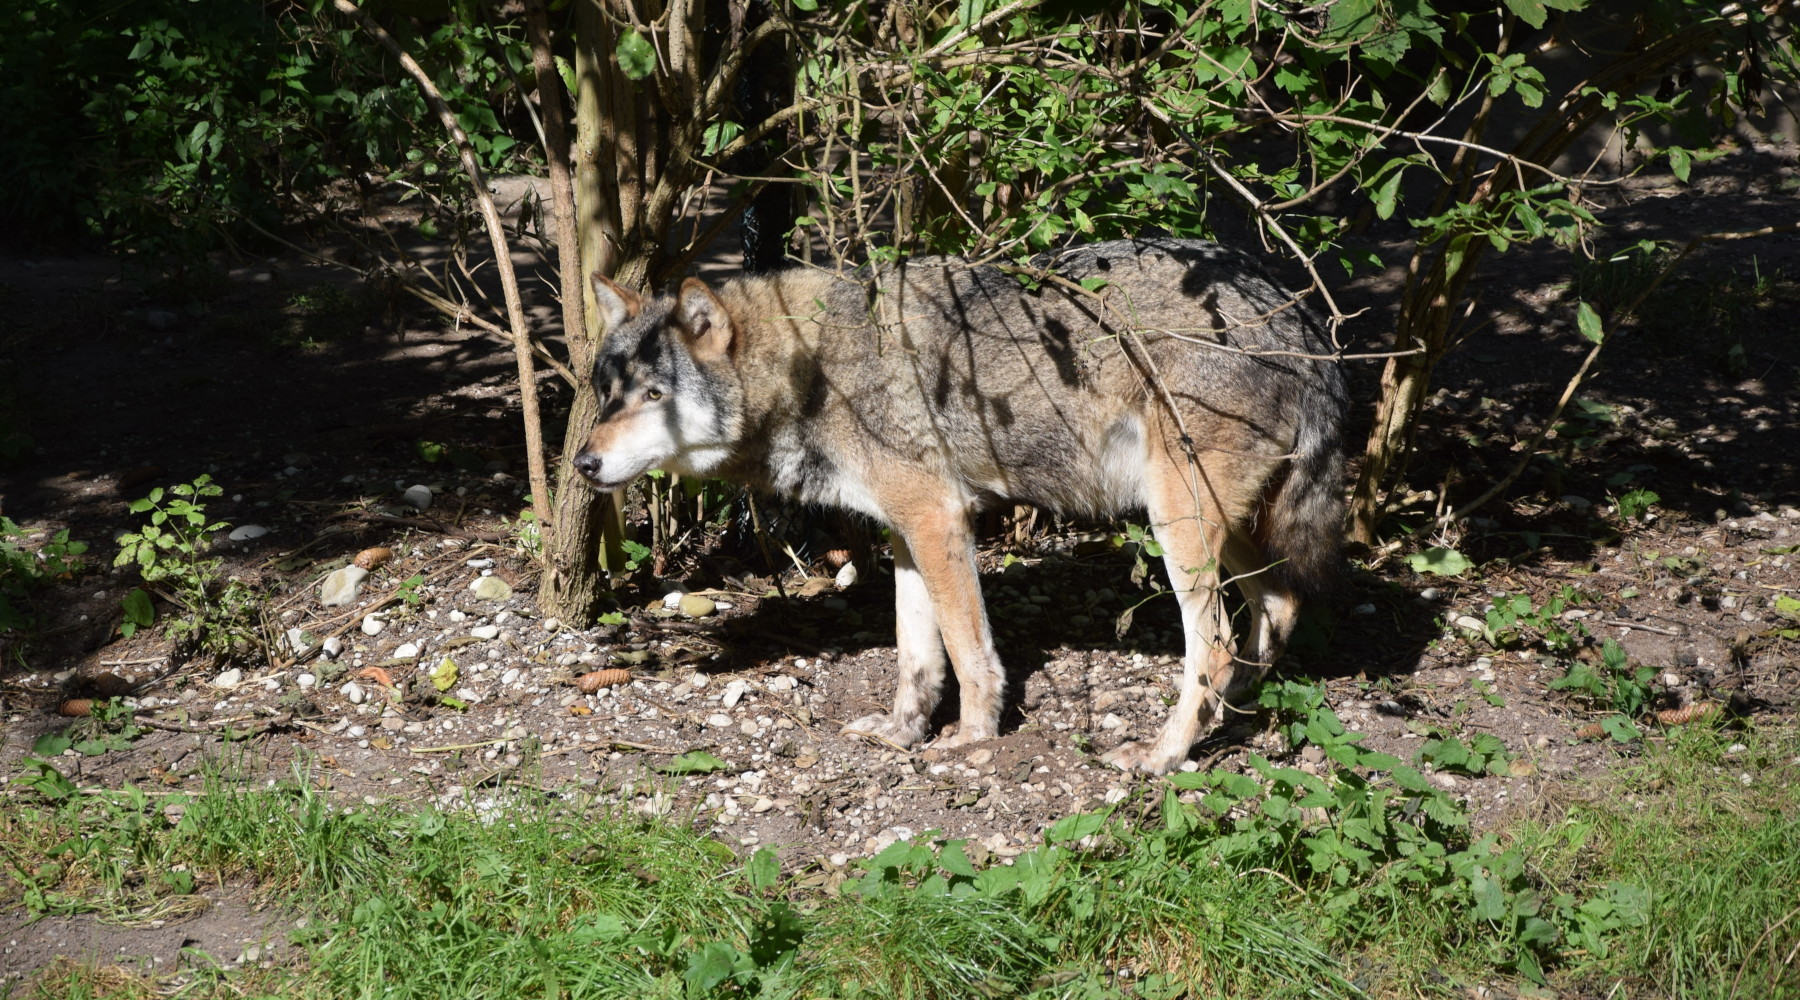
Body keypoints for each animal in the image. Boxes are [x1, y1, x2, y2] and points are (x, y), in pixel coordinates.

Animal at [575, 238, 1348, 774]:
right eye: (610, 393)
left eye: (655, 395)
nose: (583, 463)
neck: (814, 369)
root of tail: (1306, 320)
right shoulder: (907, 534)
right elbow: (916, 657)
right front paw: (902, 734)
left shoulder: (939, 519)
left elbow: (969, 652)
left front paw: (973, 741)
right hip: (1219, 527)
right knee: (1275, 605)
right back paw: (1233, 711)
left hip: (1178, 525)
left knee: (1213, 641)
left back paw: (1163, 756)